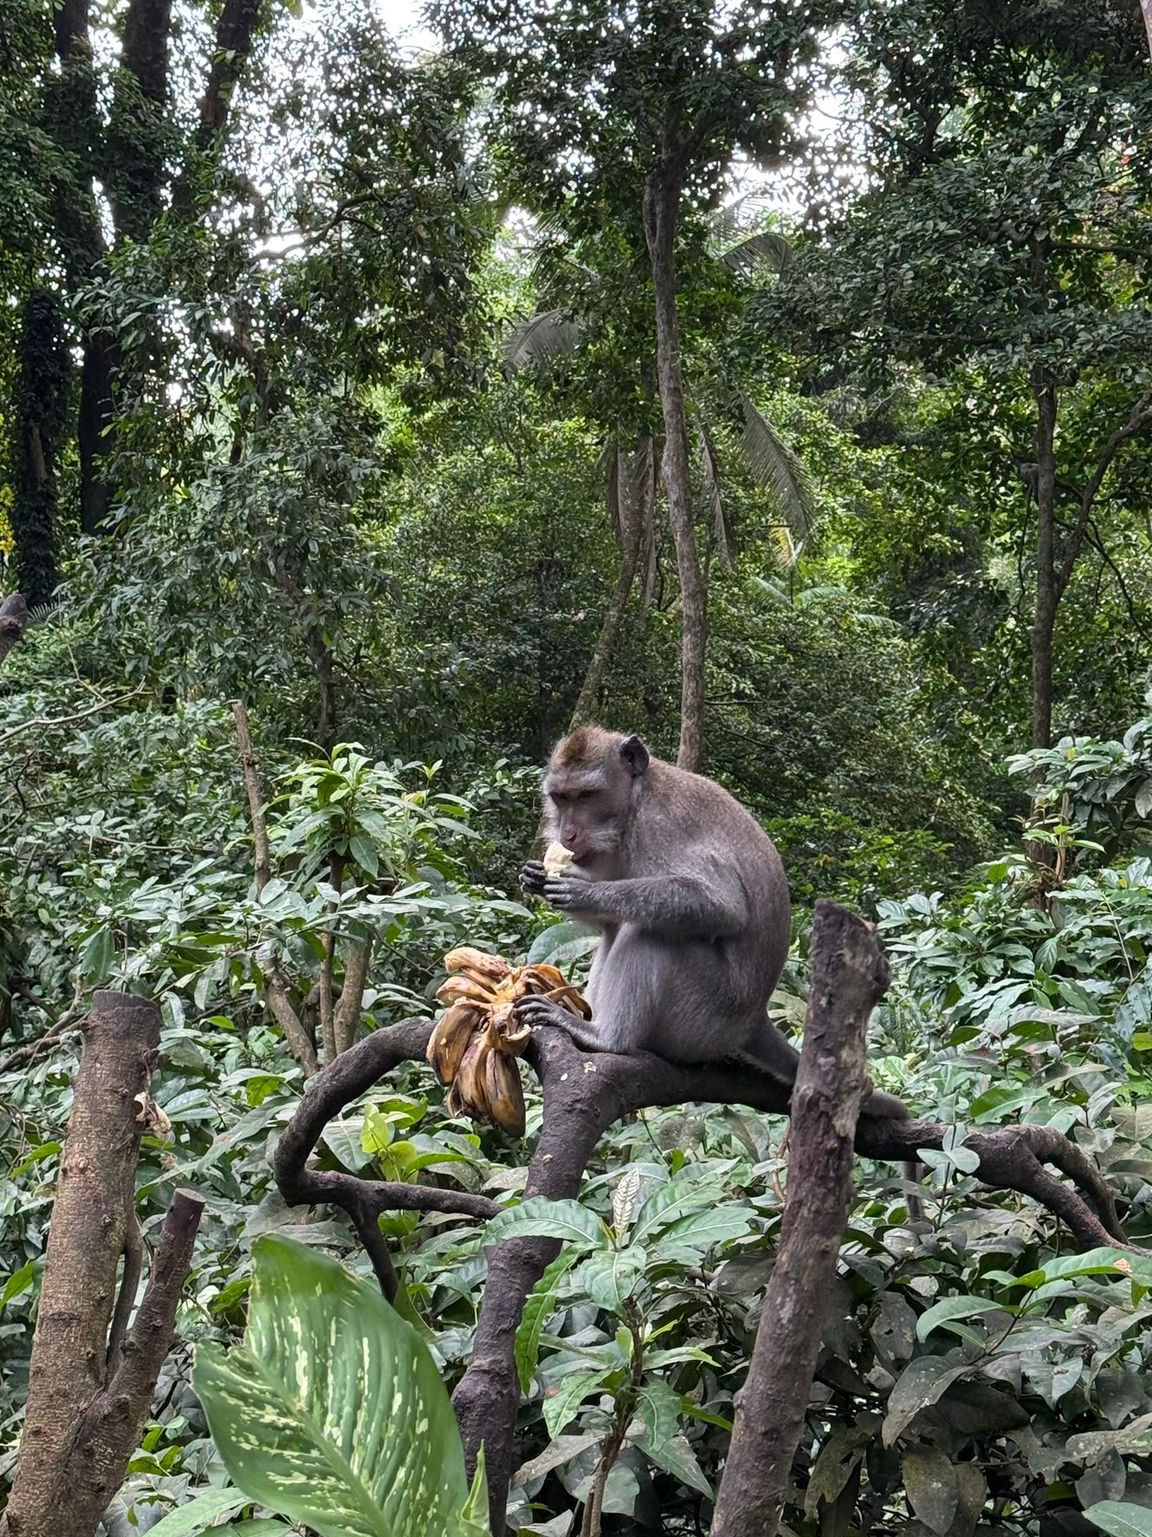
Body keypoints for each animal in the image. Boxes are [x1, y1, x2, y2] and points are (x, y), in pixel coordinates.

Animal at [515, 726, 918, 1149]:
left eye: (586, 796)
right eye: (561, 798)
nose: (568, 833)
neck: (633, 806)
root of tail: (752, 1020)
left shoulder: (660, 826)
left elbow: (723, 906)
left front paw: (584, 891)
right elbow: (608, 921)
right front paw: (537, 876)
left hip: (705, 1017)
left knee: (650, 933)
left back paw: (606, 1037)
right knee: (621, 929)